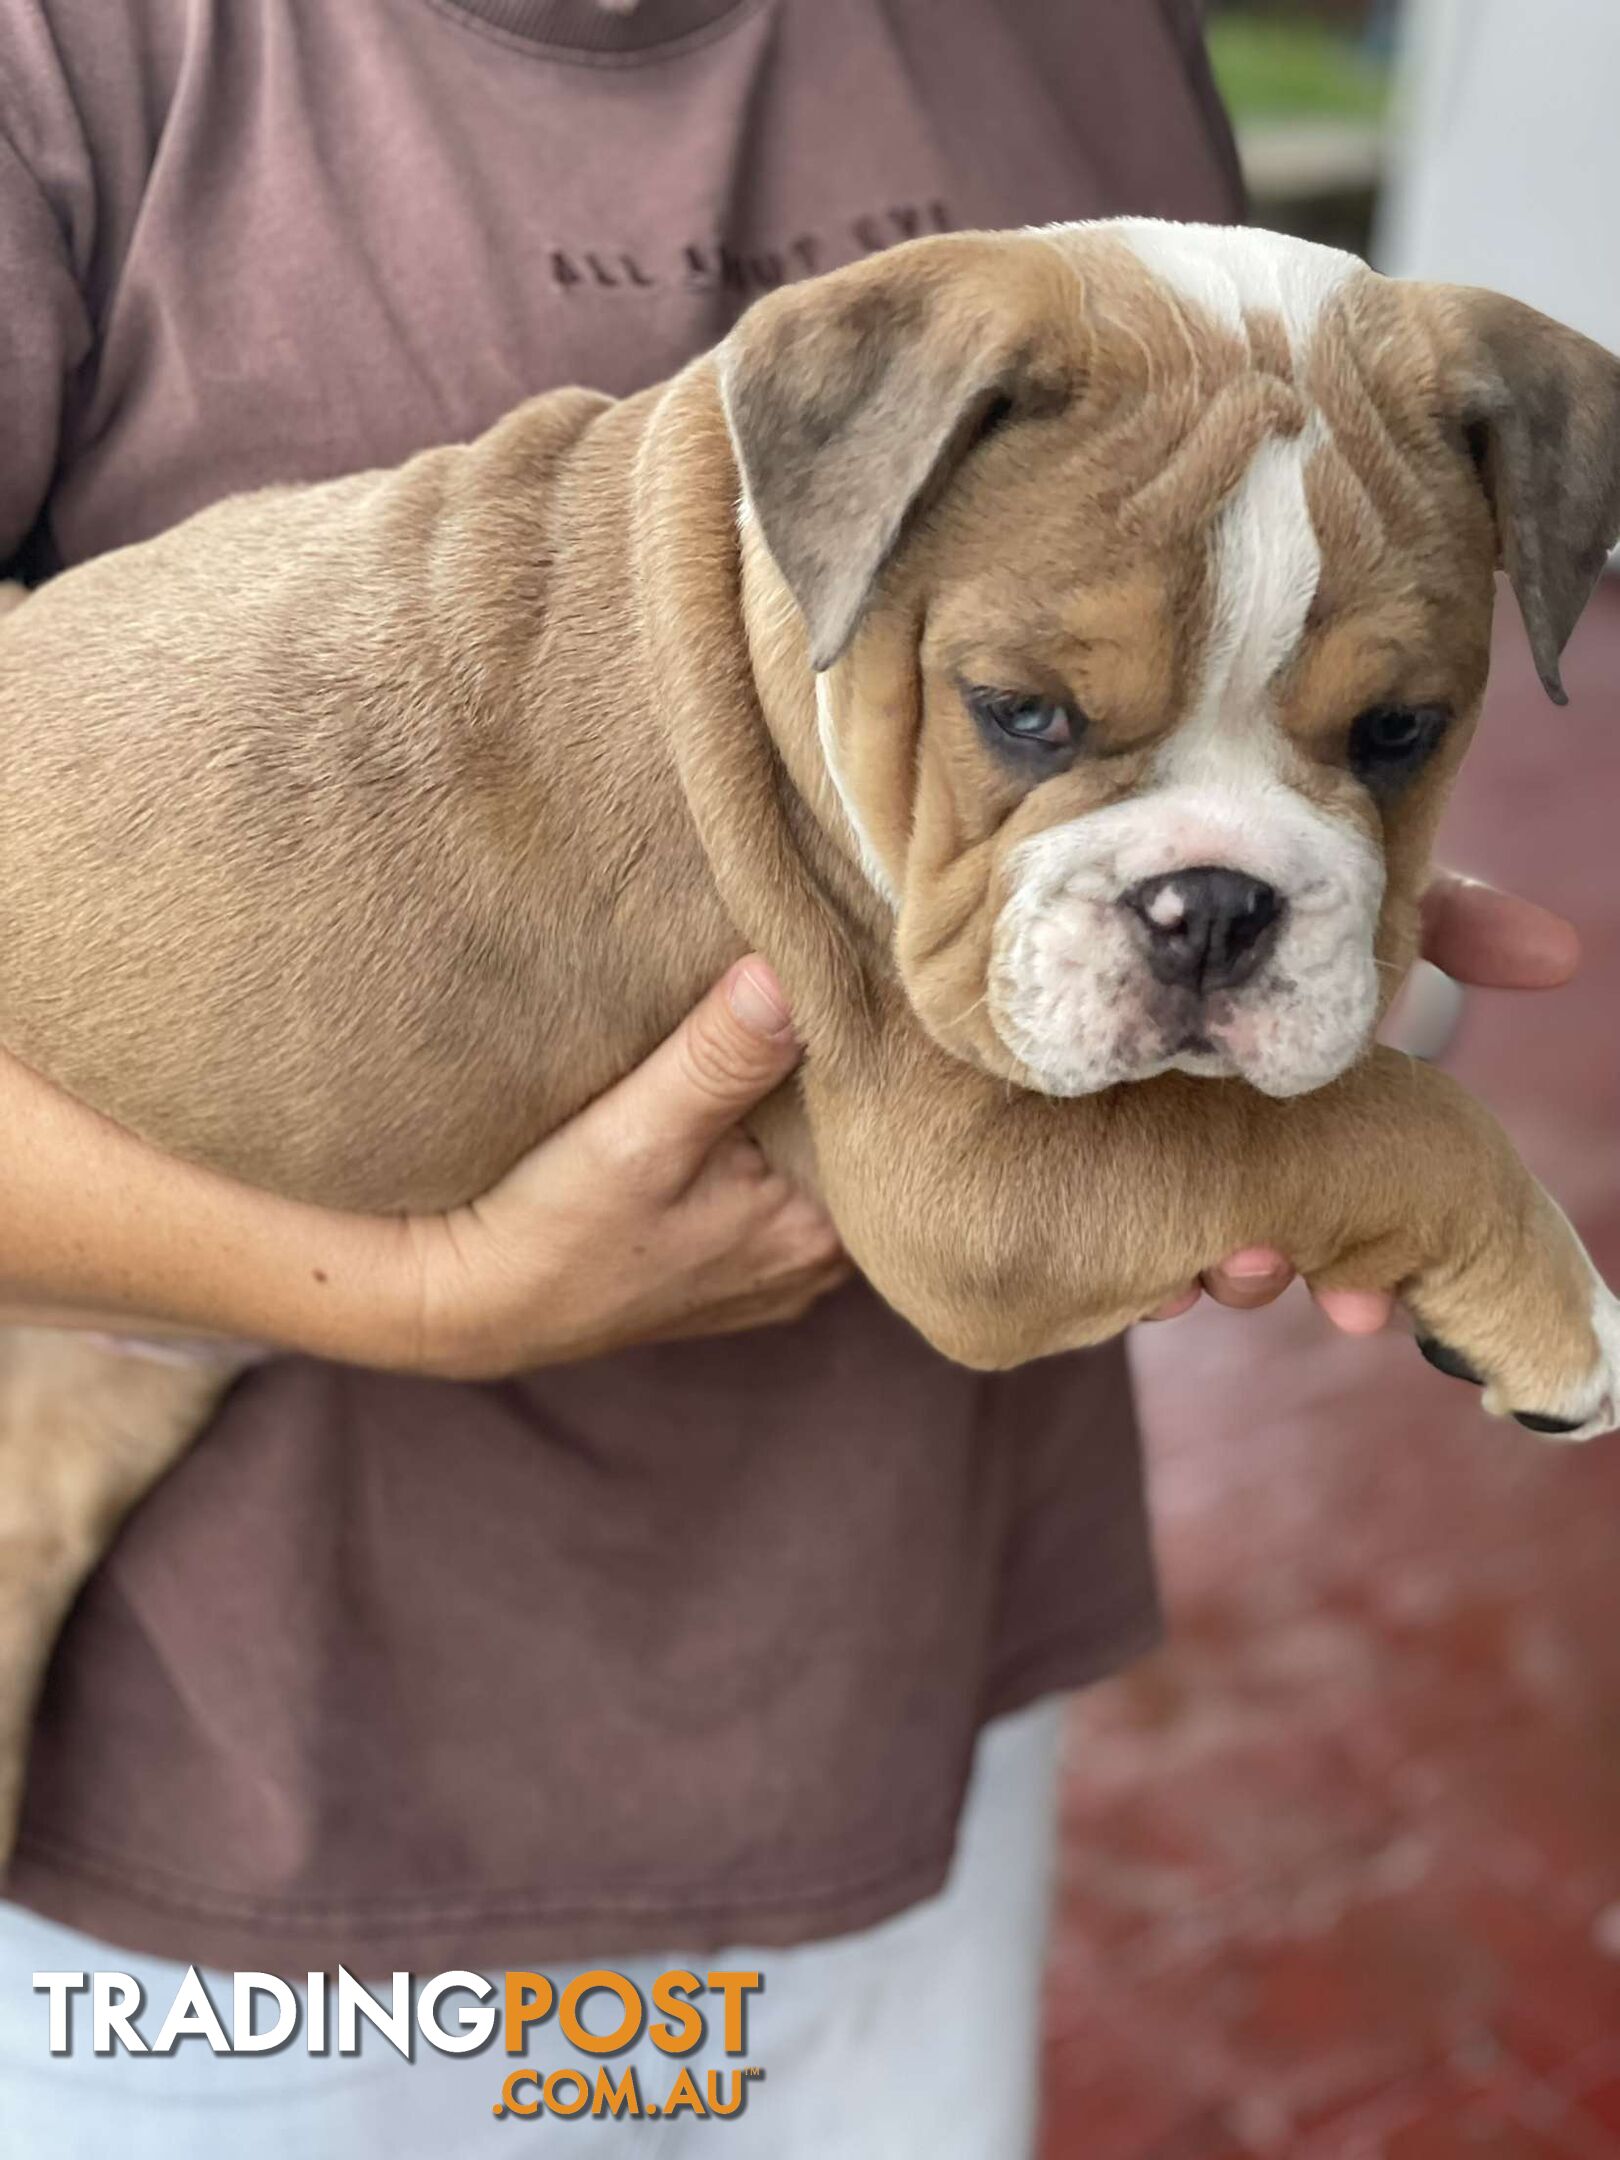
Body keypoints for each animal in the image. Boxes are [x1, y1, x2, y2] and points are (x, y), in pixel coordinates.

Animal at [3, 219, 1620, 1848]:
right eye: (1019, 713)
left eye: (1400, 734)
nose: (1214, 906)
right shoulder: (970, 1190)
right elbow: (1370, 1120)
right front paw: (1566, 1313)